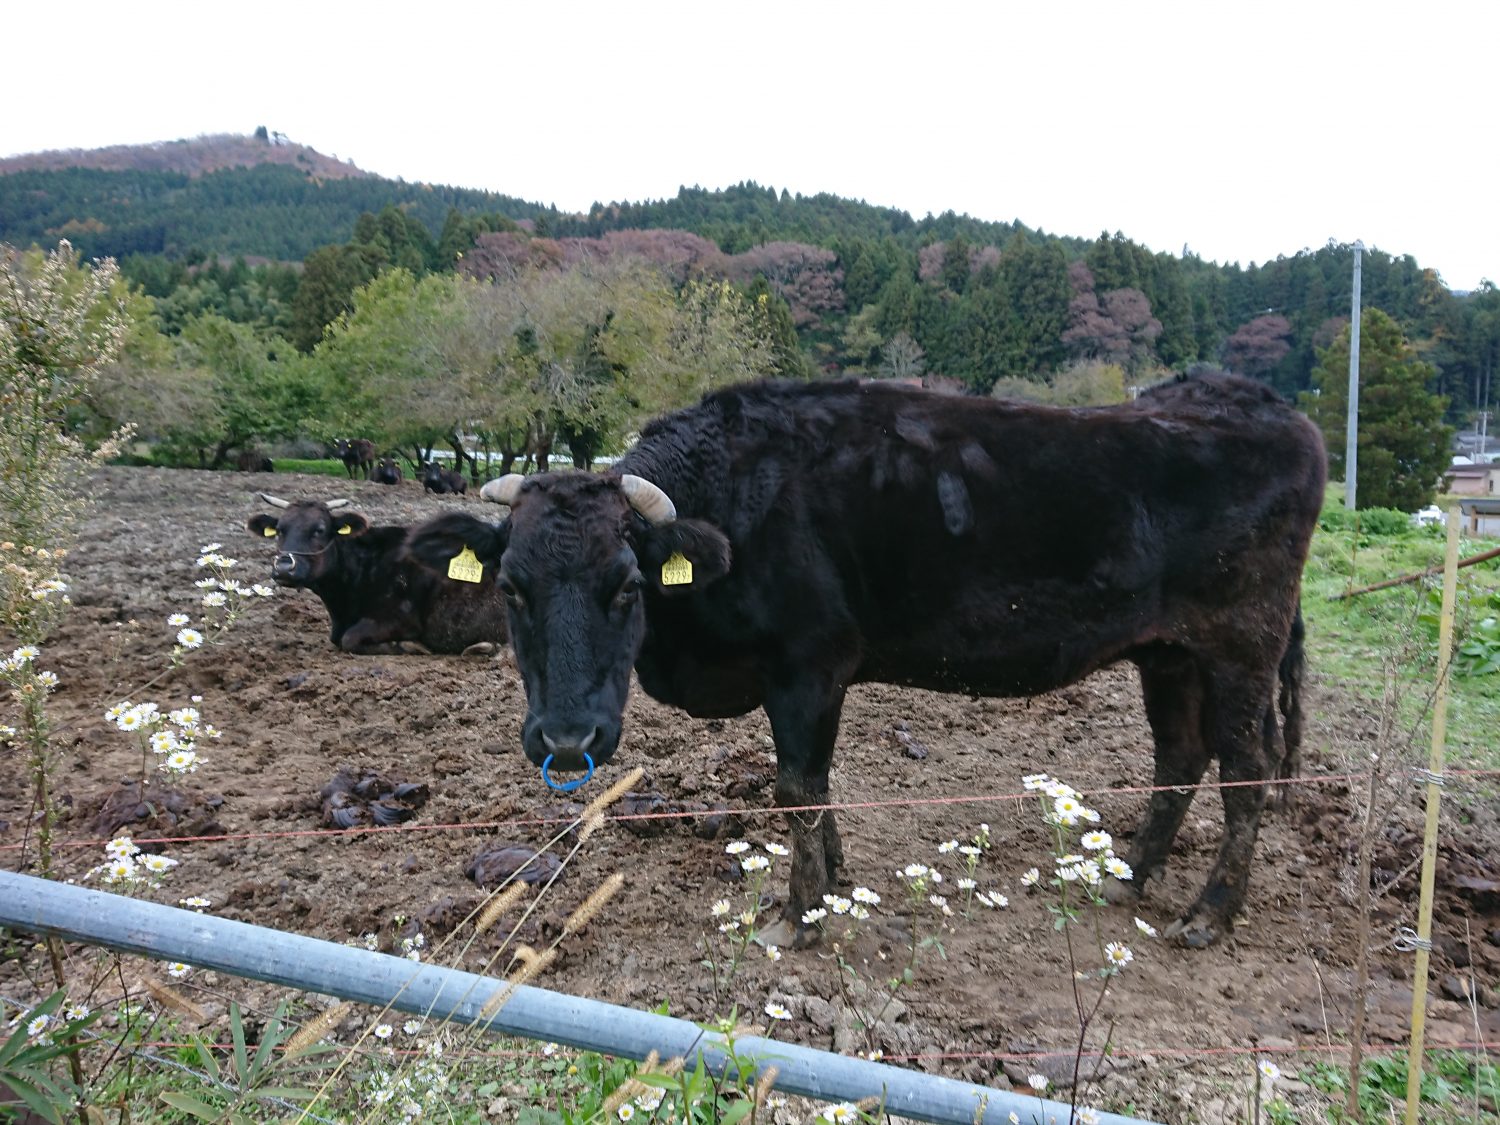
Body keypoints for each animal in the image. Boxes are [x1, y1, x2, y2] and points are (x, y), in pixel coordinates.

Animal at [247, 494, 504, 656]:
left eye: (319, 530)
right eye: (279, 530)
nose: (283, 568)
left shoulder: (402, 620)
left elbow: (349, 638)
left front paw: (409, 646)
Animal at [406, 373, 1326, 948]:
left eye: (628, 585)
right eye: (512, 587)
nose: (567, 741)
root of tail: (1269, 407)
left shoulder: (808, 663)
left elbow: (796, 788)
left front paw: (800, 914)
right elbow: (815, 786)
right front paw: (837, 878)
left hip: (1242, 642)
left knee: (1246, 767)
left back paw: (1209, 914)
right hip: (1168, 650)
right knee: (1180, 754)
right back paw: (1129, 877)